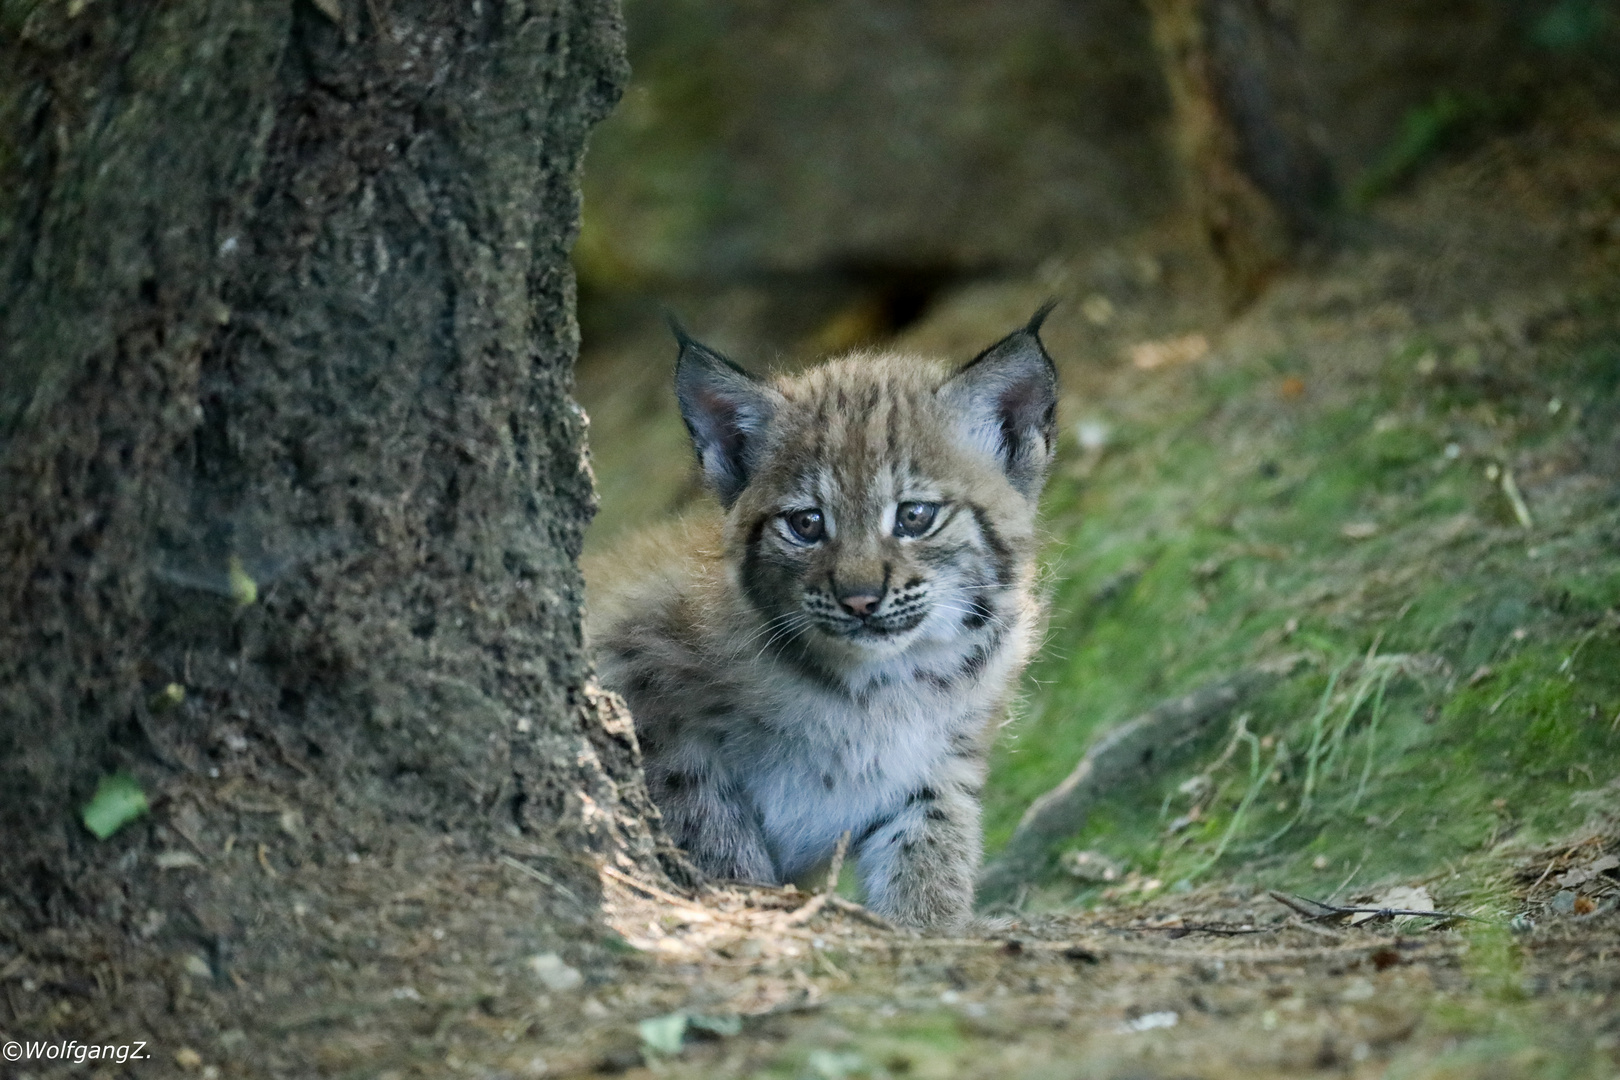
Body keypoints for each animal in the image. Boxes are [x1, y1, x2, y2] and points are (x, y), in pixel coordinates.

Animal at [589, 304, 1056, 932]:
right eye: (806, 524)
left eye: (915, 516)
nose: (860, 599)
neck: (882, 686)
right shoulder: (646, 696)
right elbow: (710, 825)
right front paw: (746, 904)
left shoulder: (938, 761)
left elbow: (934, 846)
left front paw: (927, 929)